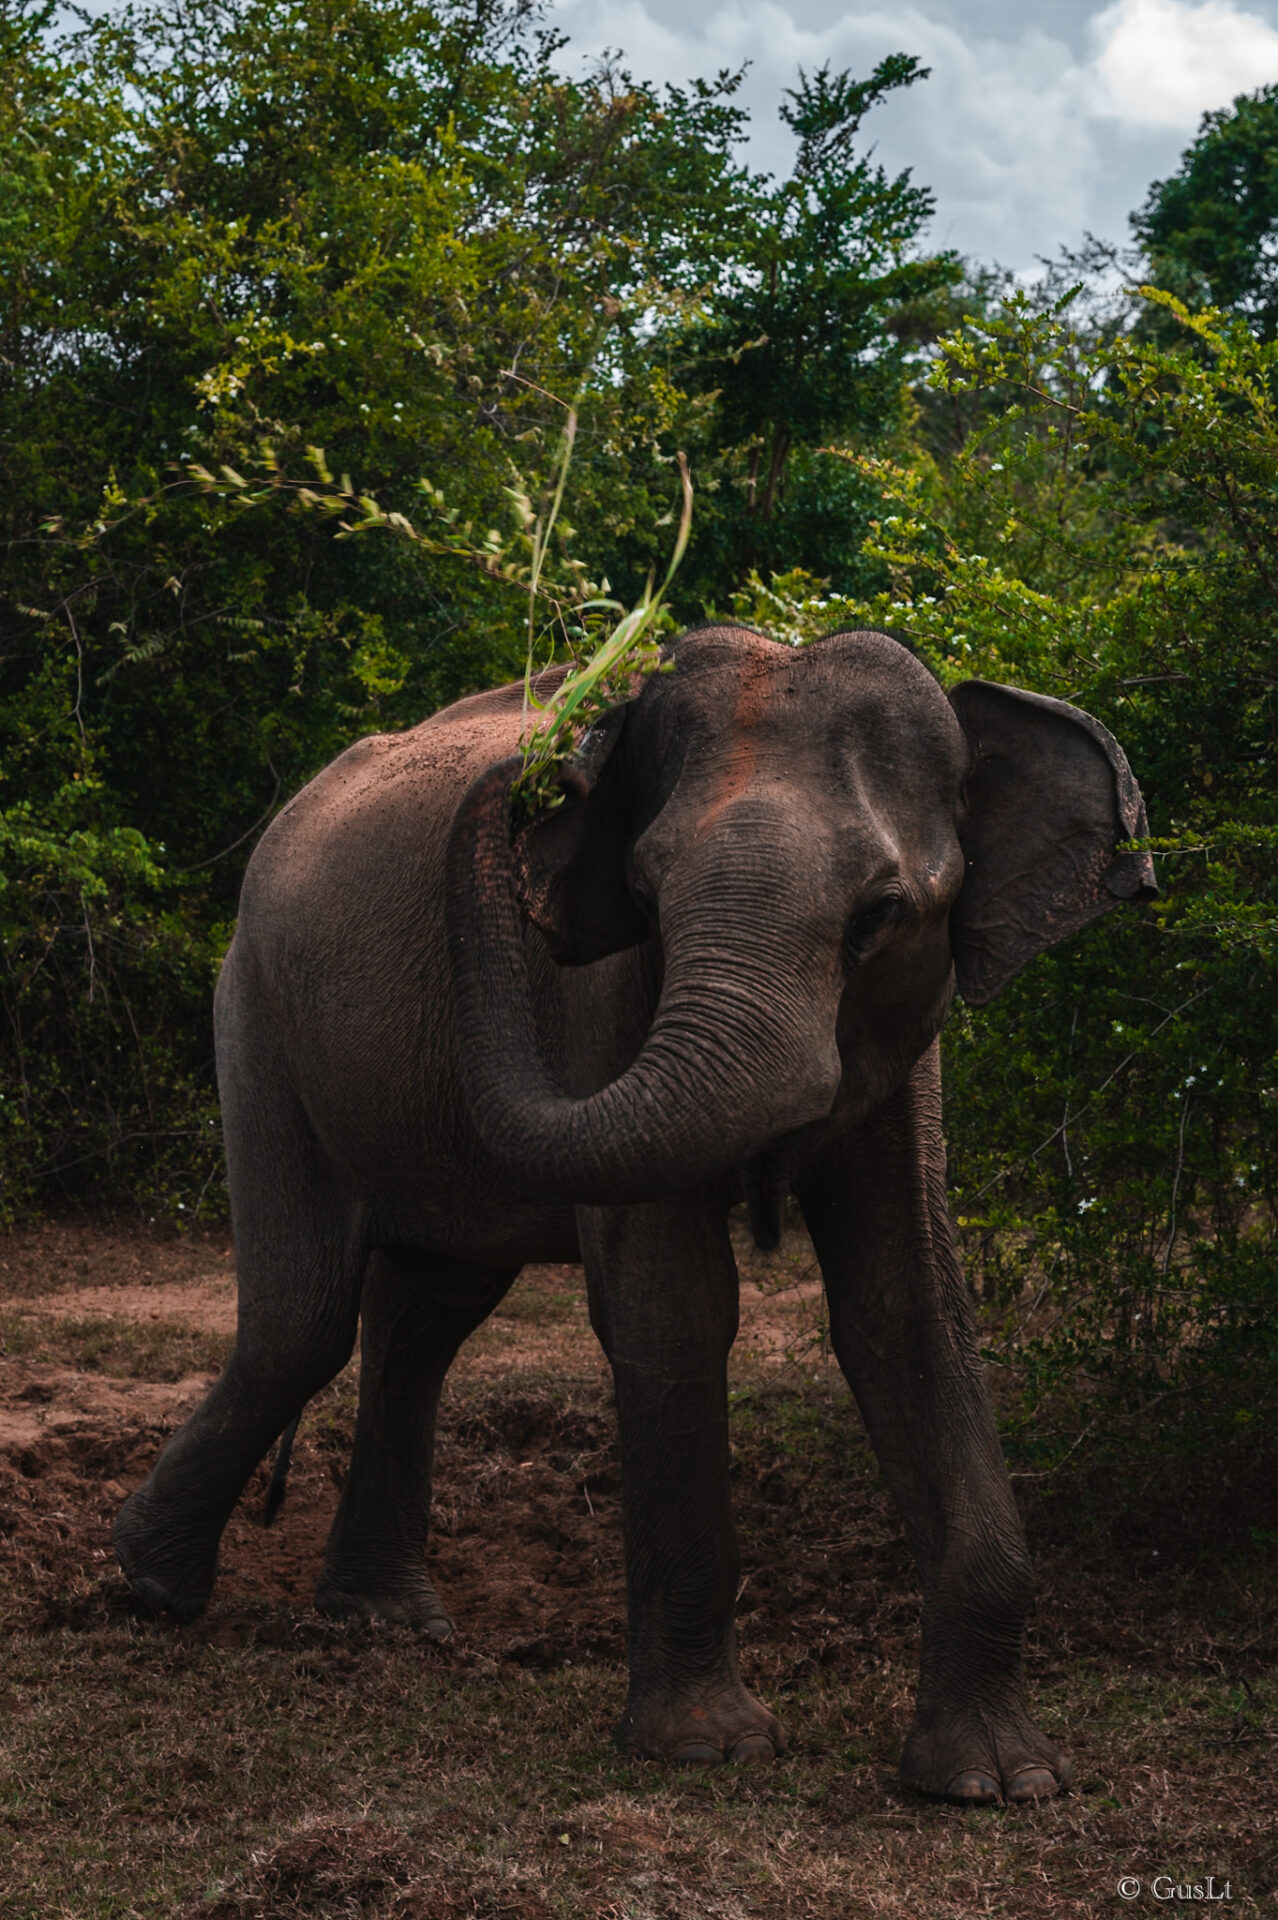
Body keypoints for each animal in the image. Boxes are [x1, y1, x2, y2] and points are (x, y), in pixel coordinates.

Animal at [114, 625, 1151, 1797]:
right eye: (647, 896)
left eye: (882, 916)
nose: (548, 768)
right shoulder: (597, 1001)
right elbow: (674, 1305)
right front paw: (705, 1750)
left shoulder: (911, 1047)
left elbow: (910, 1308)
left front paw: (998, 1783)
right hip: (257, 1015)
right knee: (303, 1319)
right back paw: (150, 1589)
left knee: (427, 1308)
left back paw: (381, 1620)